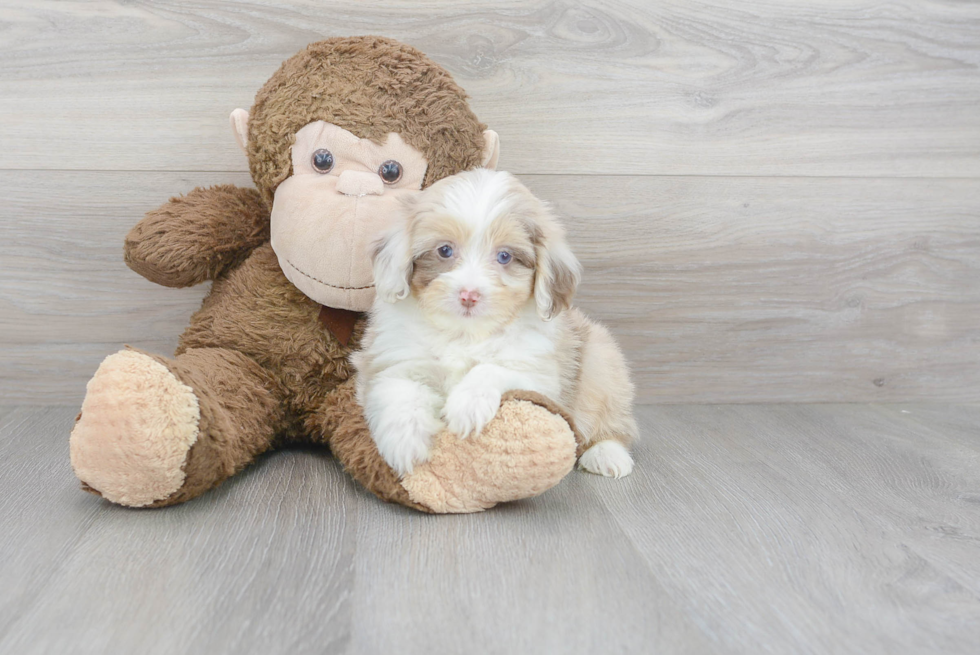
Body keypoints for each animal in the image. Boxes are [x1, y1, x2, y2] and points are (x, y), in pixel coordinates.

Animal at [350, 167, 636, 480]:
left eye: (504, 256)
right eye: (445, 250)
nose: (469, 295)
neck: (465, 334)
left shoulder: (540, 376)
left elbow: (491, 369)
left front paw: (467, 404)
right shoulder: (392, 359)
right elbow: (398, 389)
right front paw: (405, 443)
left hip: (601, 361)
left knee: (612, 421)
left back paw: (607, 454)